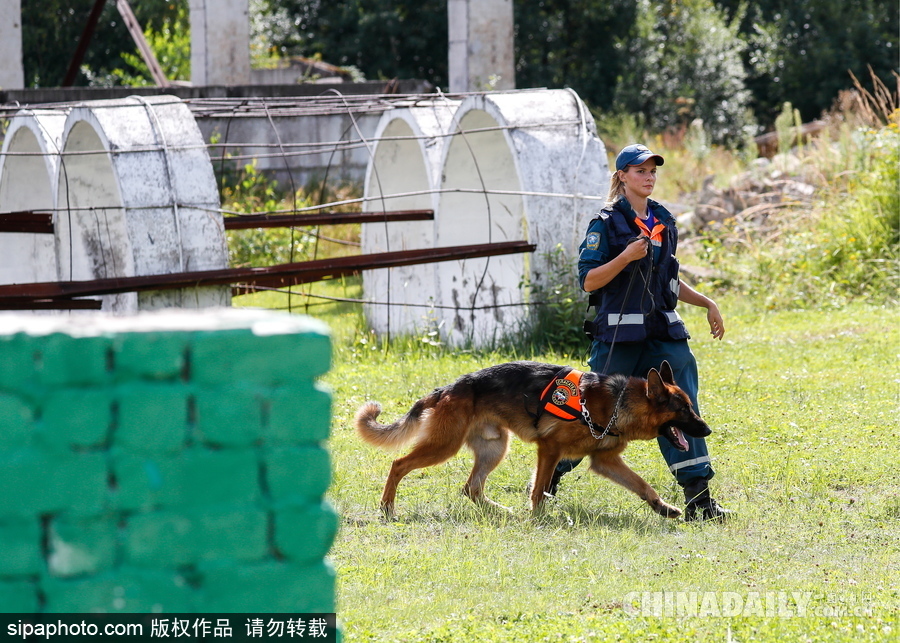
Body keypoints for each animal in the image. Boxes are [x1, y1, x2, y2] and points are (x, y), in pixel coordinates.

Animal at [356, 360, 712, 520]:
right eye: (684, 409)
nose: (707, 430)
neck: (618, 404)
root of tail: (447, 389)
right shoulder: (550, 450)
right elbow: (539, 491)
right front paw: (540, 519)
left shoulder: (605, 461)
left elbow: (641, 485)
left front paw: (664, 508)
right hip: (445, 447)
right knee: (398, 464)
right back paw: (387, 508)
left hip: (495, 449)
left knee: (471, 488)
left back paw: (503, 512)